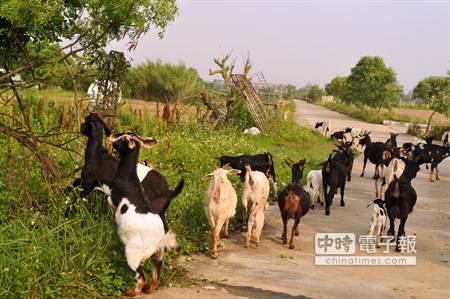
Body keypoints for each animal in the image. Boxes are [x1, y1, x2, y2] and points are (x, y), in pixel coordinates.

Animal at [107, 134, 176, 298]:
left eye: (121, 139)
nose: (111, 137)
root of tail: (159, 240)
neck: (129, 177)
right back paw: (148, 290)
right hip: (158, 257)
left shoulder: (112, 199)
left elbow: (111, 206)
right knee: (155, 277)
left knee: (141, 277)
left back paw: (131, 292)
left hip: (132, 255)